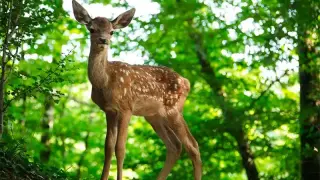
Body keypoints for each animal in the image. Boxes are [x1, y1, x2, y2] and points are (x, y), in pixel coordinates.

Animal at [72, 0, 201, 179]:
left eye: (112, 31)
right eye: (91, 29)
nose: (103, 40)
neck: (105, 80)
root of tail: (186, 81)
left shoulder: (126, 107)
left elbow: (120, 148)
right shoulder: (109, 111)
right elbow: (108, 147)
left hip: (173, 109)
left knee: (193, 145)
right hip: (154, 116)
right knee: (175, 146)